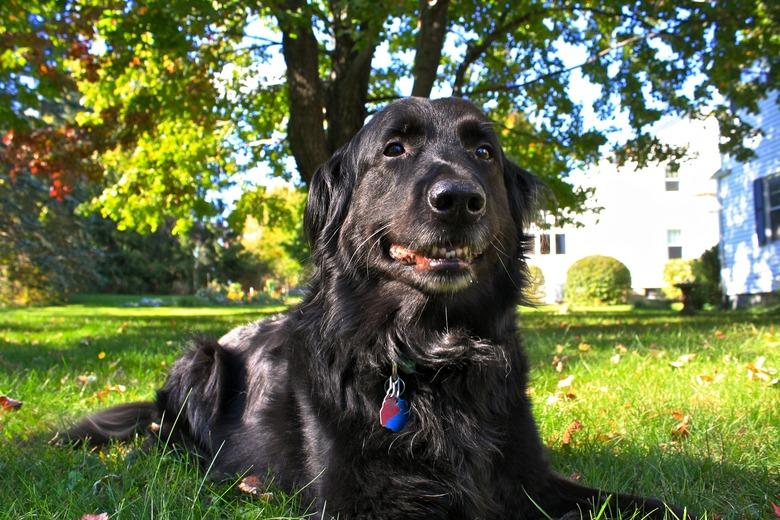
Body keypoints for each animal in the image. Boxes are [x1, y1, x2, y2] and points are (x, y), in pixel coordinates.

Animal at [65, 98, 688, 520]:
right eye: (395, 149)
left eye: (483, 152)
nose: (458, 199)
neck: (432, 353)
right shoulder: (362, 496)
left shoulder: (528, 475)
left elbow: (654, 505)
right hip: (203, 359)